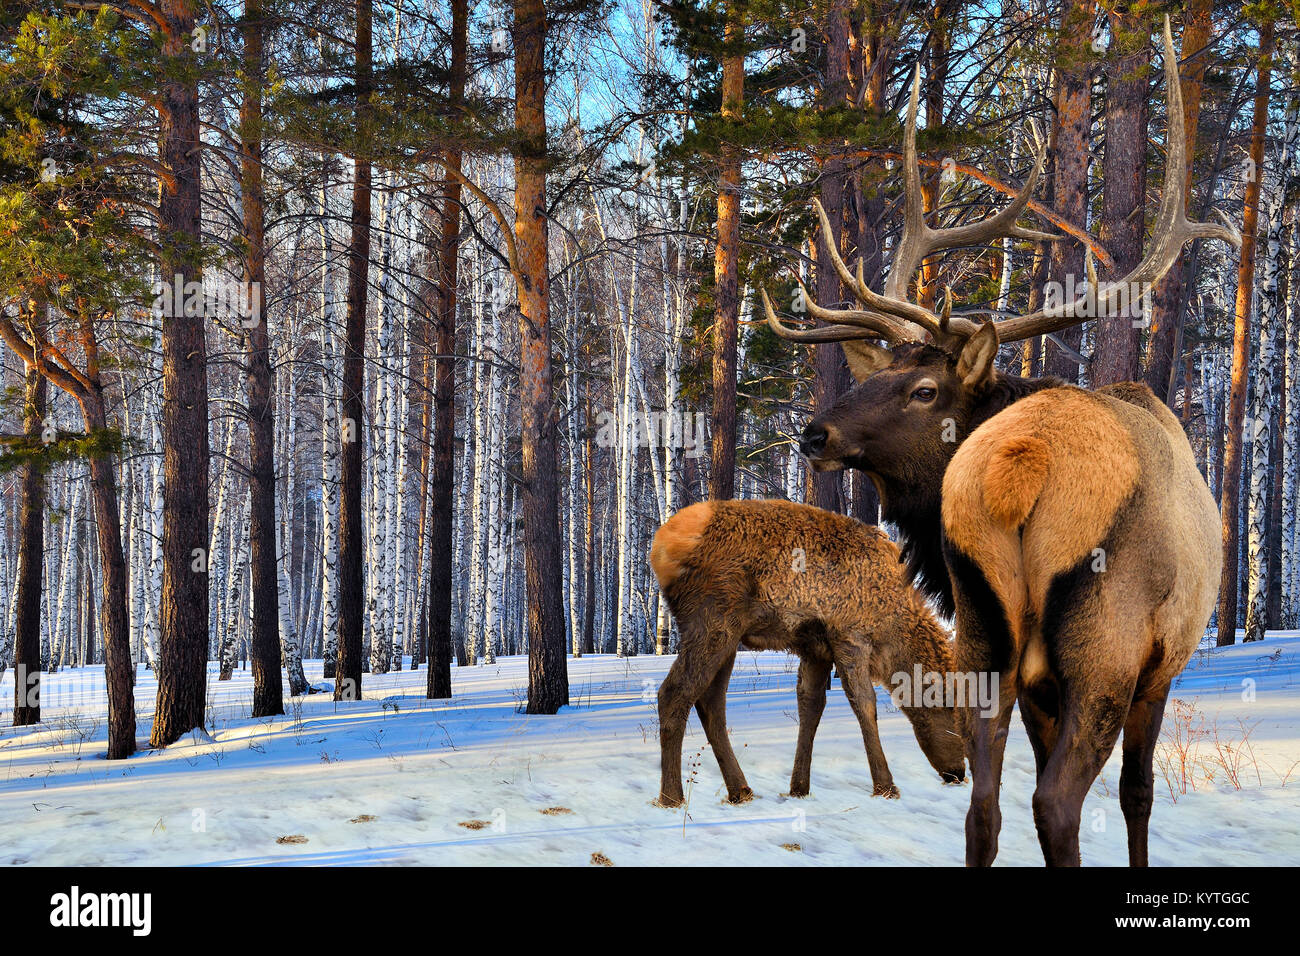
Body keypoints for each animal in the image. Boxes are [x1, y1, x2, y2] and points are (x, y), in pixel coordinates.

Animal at [650, 502, 967, 806]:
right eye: (953, 710)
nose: (958, 773)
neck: (892, 631)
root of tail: (659, 549)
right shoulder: (850, 635)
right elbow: (864, 704)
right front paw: (885, 786)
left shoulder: (816, 648)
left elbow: (810, 707)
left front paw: (799, 787)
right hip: (712, 620)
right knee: (674, 692)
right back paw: (671, 796)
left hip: (729, 636)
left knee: (710, 701)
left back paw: (740, 790)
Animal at [759, 14, 1237, 868]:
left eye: (921, 388)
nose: (814, 432)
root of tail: (1024, 466)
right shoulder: (1162, 661)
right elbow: (1138, 796)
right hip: (1104, 646)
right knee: (1055, 803)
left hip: (983, 635)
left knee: (983, 806)